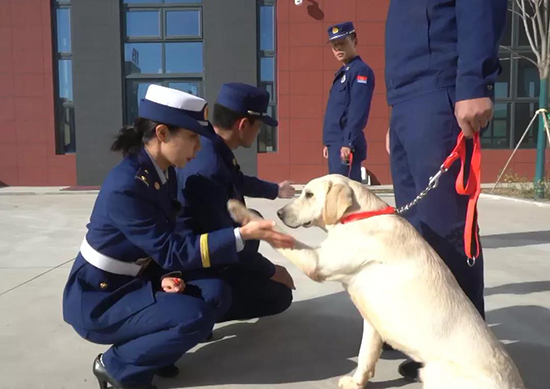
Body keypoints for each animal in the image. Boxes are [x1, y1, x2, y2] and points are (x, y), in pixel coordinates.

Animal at [227, 175, 528, 388]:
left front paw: (241, 212)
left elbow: (280, 237)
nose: (279, 213)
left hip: (436, 373)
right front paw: (356, 382)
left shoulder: (317, 263)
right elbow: (365, 355)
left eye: (309, 194)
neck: (356, 216)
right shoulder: (372, 321)